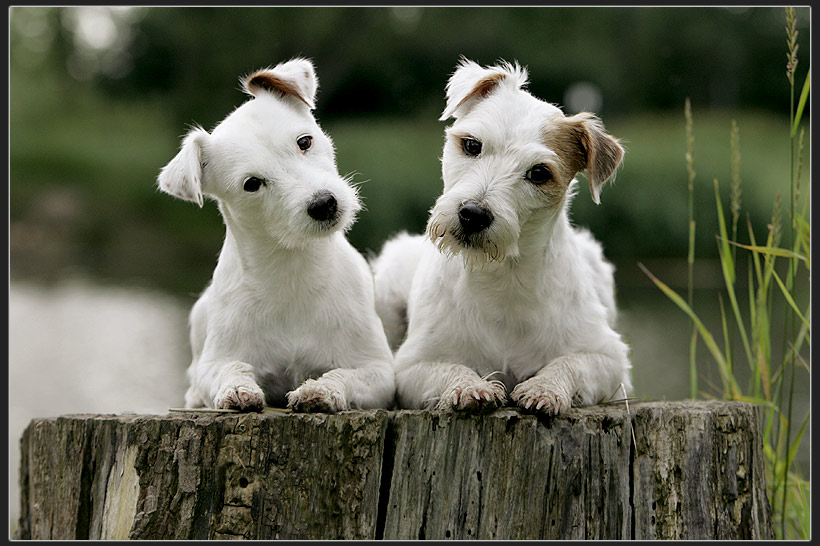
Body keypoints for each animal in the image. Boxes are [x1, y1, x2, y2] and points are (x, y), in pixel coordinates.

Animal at [159, 57, 396, 410]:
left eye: (304, 142)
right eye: (252, 183)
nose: (323, 204)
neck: (293, 269)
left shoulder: (378, 371)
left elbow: (342, 375)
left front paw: (320, 390)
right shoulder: (214, 363)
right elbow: (229, 368)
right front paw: (237, 388)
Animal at [372, 57, 636, 412]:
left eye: (539, 173)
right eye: (472, 145)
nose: (472, 214)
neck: (503, 278)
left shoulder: (610, 360)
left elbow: (570, 363)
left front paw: (545, 387)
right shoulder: (414, 365)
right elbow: (449, 368)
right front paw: (470, 387)